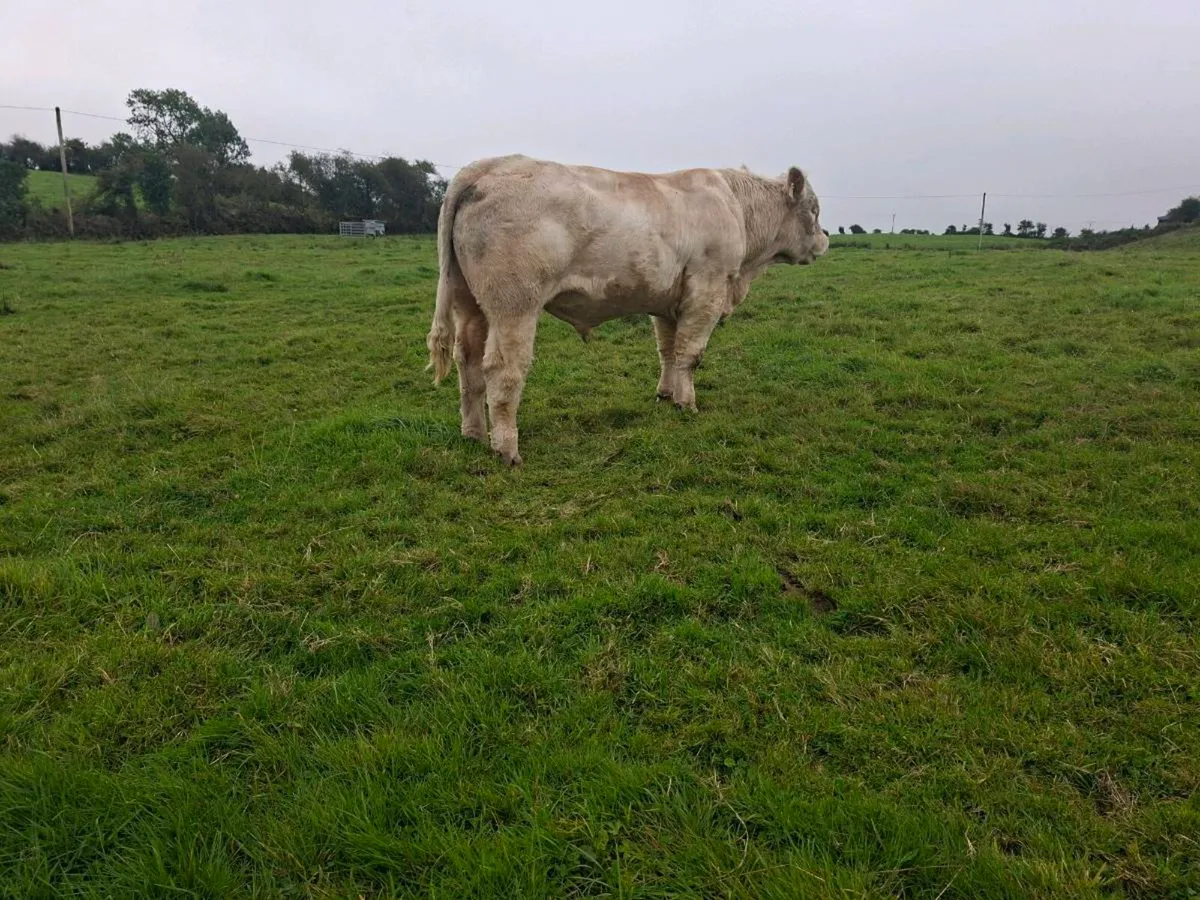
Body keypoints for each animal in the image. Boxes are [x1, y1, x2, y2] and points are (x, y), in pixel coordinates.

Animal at [426, 154, 829, 465]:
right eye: (814, 209)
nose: (825, 240)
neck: (736, 208)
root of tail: (487, 166)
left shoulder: (666, 302)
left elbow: (668, 351)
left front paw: (666, 394)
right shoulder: (707, 291)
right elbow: (690, 354)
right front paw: (687, 403)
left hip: (470, 304)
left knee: (468, 363)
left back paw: (473, 433)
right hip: (513, 305)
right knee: (502, 370)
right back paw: (506, 448)